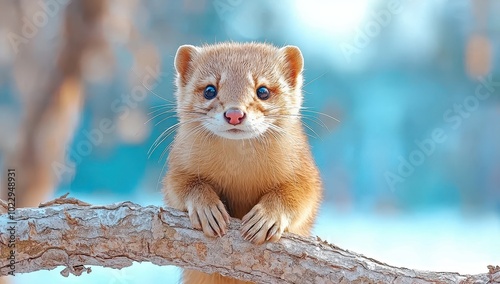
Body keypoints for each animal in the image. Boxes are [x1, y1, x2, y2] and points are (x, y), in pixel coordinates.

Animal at [162, 42, 322, 284]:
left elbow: (300, 197)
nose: (235, 114)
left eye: (263, 91)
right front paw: (207, 209)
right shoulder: (177, 166)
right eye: (210, 90)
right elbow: (181, 186)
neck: (239, 173)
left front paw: (265, 218)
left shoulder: (305, 172)